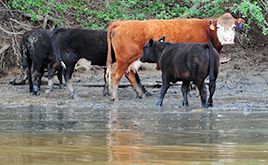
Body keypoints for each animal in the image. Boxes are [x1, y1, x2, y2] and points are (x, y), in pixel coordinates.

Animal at [106, 12, 245, 100]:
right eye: (219, 27)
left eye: (233, 27)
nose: (228, 40)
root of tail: (120, 23)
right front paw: (198, 93)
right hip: (123, 59)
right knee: (115, 75)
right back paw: (115, 97)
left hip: (130, 61)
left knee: (129, 74)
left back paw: (142, 94)